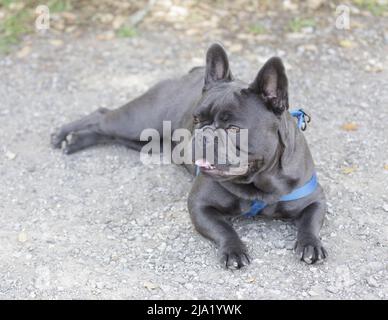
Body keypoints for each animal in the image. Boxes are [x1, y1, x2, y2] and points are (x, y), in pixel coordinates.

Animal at [51, 42, 328, 268]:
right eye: (197, 119)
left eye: (234, 129)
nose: (204, 134)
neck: (257, 184)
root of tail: (191, 73)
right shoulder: (199, 205)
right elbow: (224, 228)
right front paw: (234, 250)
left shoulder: (315, 199)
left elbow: (310, 222)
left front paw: (310, 244)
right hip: (138, 122)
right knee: (102, 115)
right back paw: (63, 135)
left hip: (143, 140)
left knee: (106, 130)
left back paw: (74, 140)